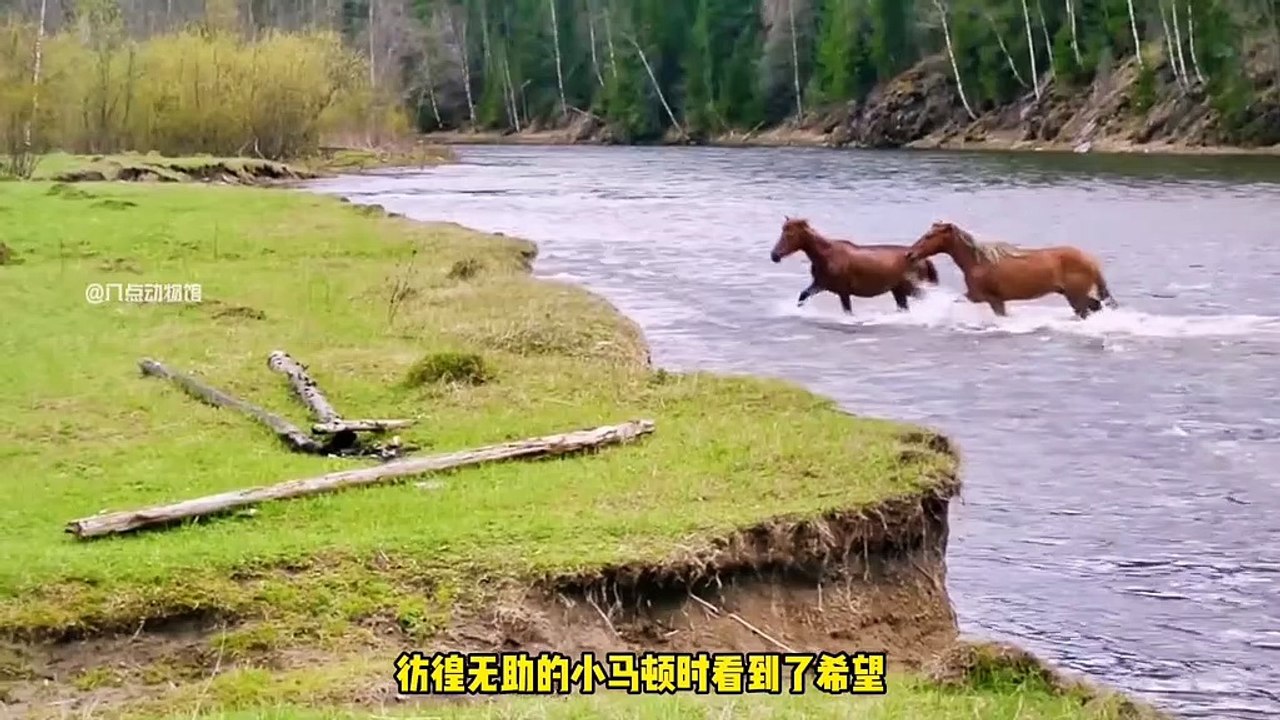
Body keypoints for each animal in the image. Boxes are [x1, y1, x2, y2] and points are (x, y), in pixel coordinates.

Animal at [769, 217, 940, 314]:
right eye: (782, 231)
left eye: (790, 234)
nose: (774, 255)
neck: (826, 256)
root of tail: (924, 259)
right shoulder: (820, 284)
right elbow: (802, 296)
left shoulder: (843, 292)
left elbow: (848, 312)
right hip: (898, 291)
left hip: (910, 288)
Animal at [904, 221, 1119, 319]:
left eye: (930, 236)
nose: (910, 254)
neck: (978, 262)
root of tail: (1091, 261)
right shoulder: (983, 298)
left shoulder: (989, 298)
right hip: (1075, 295)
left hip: (1076, 296)